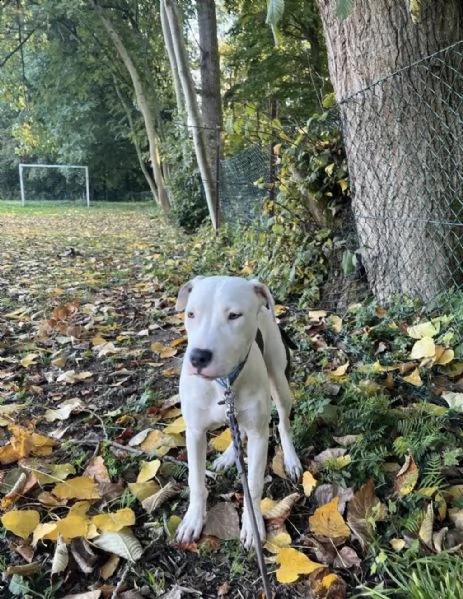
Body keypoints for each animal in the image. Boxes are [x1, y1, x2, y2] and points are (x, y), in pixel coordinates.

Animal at [174, 276, 300, 548]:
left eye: (234, 315)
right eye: (191, 314)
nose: (198, 357)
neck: (224, 383)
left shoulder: (259, 436)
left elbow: (253, 484)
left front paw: (252, 527)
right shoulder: (194, 433)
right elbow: (195, 480)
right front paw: (193, 520)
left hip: (280, 383)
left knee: (283, 423)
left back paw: (291, 459)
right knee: (237, 429)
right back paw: (229, 456)